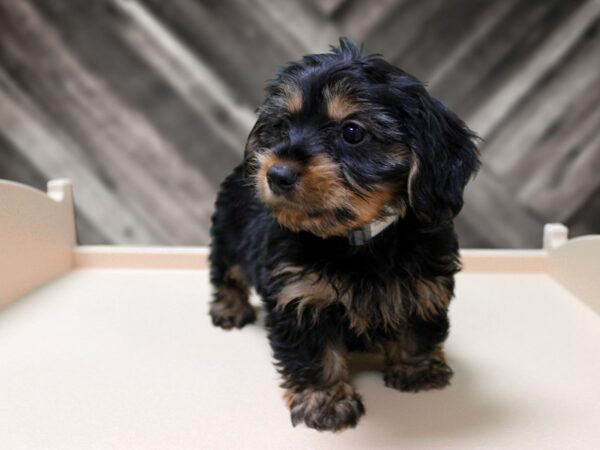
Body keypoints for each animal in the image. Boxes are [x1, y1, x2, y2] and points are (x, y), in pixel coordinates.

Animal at [209, 38, 480, 432]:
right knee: (227, 271)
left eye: (352, 132)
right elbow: (315, 353)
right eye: (282, 127)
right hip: (228, 232)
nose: (276, 173)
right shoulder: (299, 296)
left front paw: (417, 370)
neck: (356, 237)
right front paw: (325, 402)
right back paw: (229, 308)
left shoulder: (425, 283)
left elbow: (418, 326)